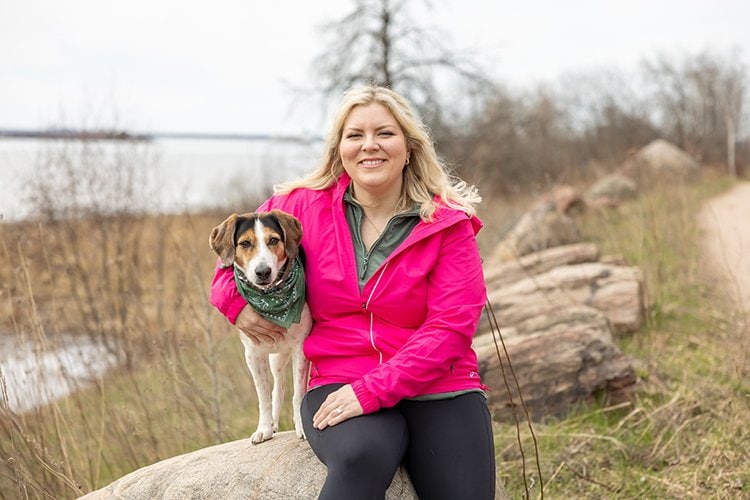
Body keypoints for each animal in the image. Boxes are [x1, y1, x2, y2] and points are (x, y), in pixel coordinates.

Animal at [209, 209, 312, 444]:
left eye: (273, 240)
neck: (271, 300)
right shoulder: (253, 355)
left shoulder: (301, 349)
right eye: (245, 243)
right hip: (275, 359)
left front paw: (302, 425)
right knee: (277, 389)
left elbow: (299, 394)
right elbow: (264, 395)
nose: (263, 271)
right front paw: (264, 428)